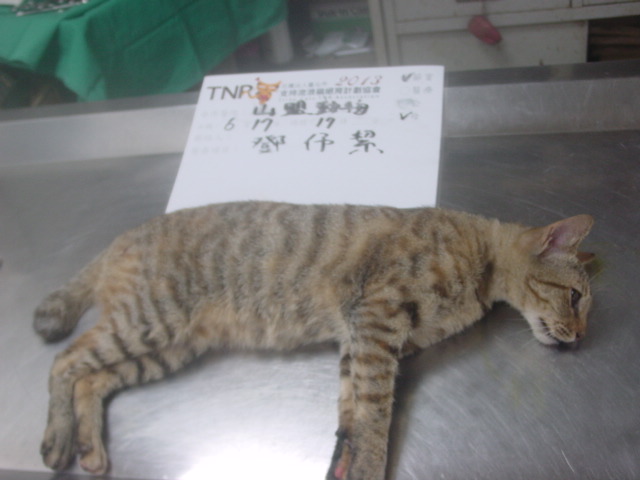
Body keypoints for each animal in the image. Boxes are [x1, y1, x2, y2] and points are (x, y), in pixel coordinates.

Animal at [33, 201, 594, 480]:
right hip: (150, 321)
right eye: (575, 298)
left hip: (165, 347)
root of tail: (119, 240)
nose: (581, 337)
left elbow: (351, 415)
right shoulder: (377, 321)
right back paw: (59, 439)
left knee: (91, 379)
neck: (480, 256)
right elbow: (375, 415)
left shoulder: (361, 340)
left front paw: (342, 463)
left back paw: (90, 448)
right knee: (64, 362)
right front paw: (368, 466)